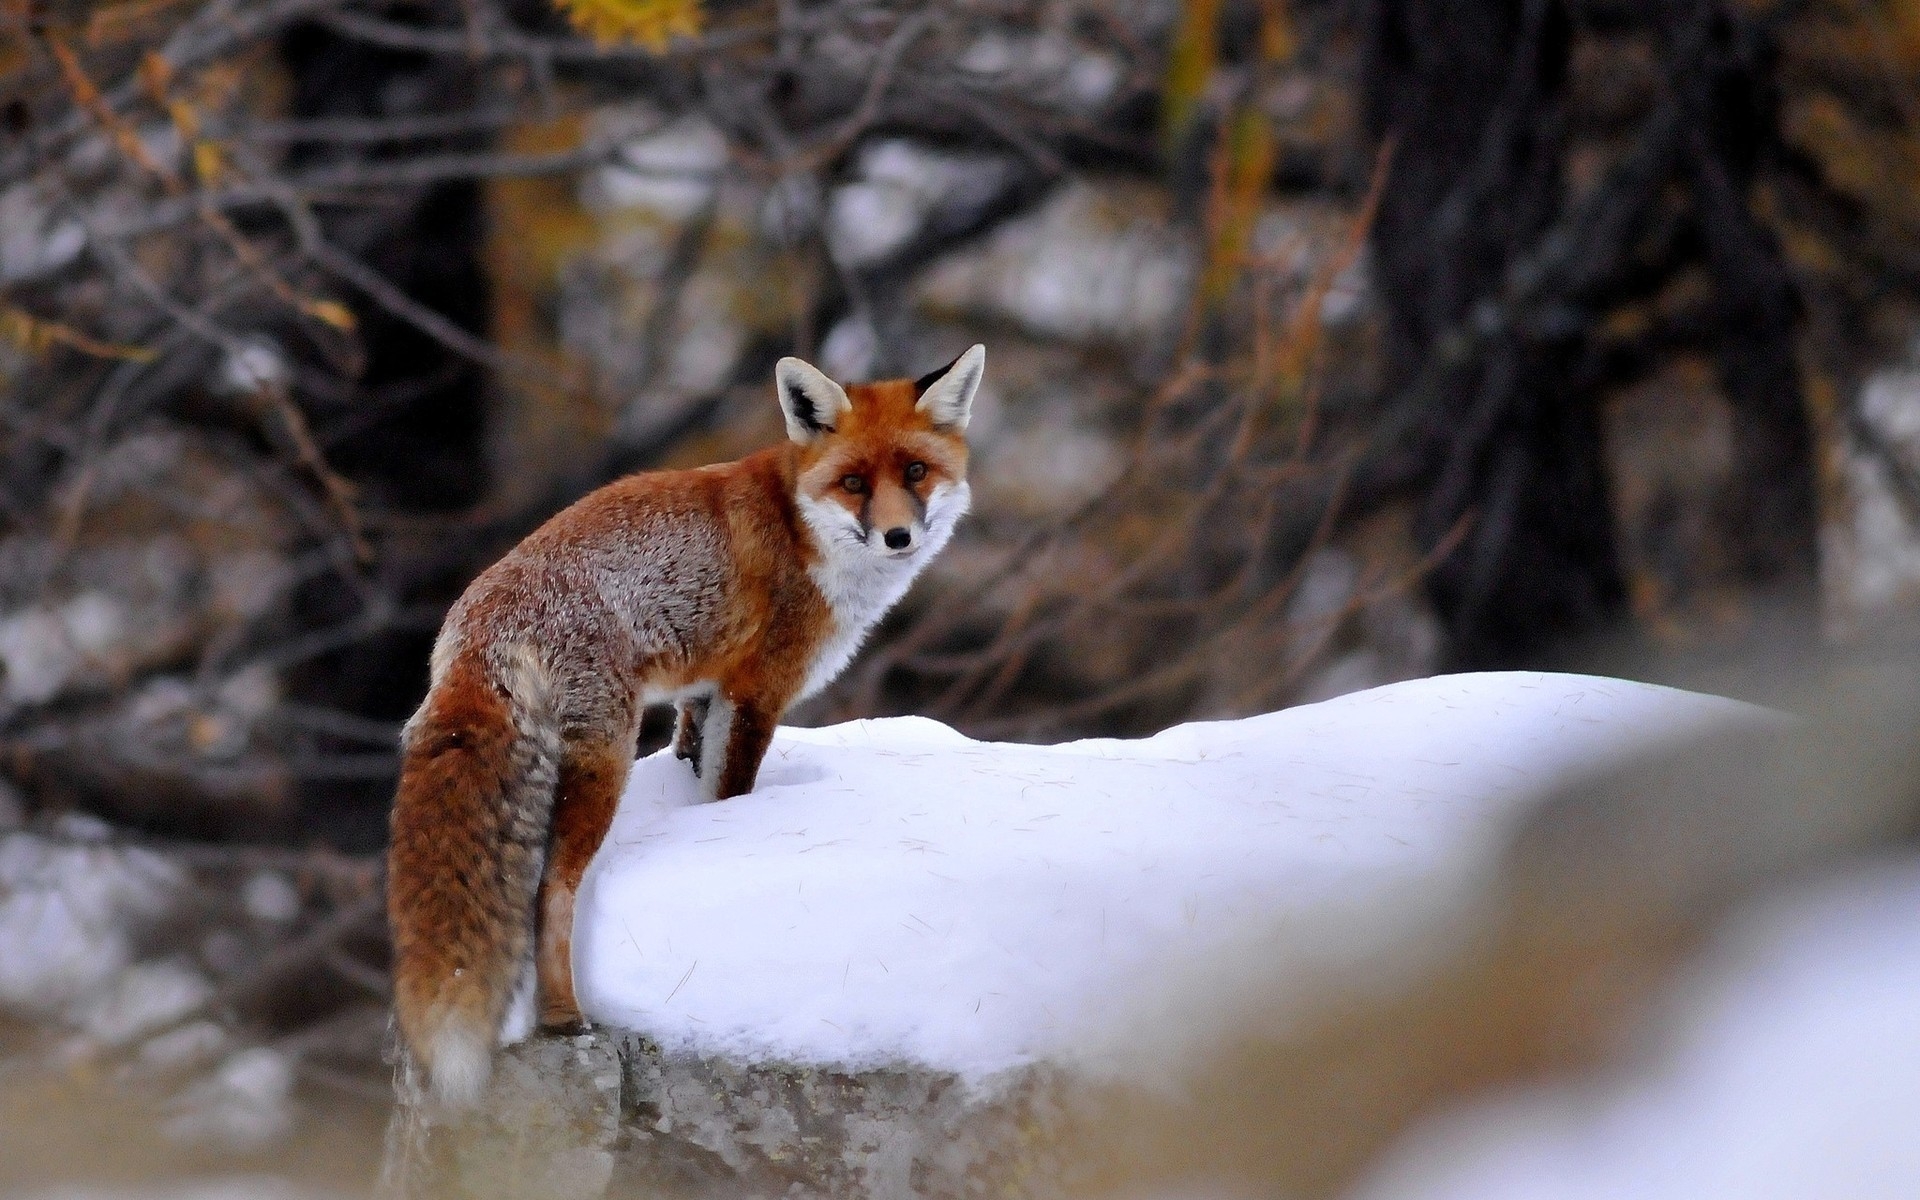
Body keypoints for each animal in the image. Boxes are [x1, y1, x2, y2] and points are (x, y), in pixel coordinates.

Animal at [386, 346, 983, 1106]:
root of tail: (478, 623)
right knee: (551, 891)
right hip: (603, 761)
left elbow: (692, 763)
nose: (899, 536)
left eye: (915, 473)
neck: (801, 530)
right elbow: (730, 793)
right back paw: (563, 1018)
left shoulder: (703, 694)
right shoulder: (756, 693)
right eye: (853, 483)